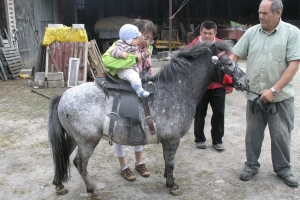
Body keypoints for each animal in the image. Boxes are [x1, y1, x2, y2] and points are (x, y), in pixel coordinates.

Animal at [47, 41, 248, 198]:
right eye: (228, 62)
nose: (246, 81)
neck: (176, 90)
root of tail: (63, 97)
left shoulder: (167, 140)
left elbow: (167, 161)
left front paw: (167, 180)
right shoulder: (173, 140)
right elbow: (171, 163)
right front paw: (173, 185)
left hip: (73, 139)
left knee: (62, 156)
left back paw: (59, 184)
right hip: (87, 141)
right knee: (80, 163)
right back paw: (92, 190)